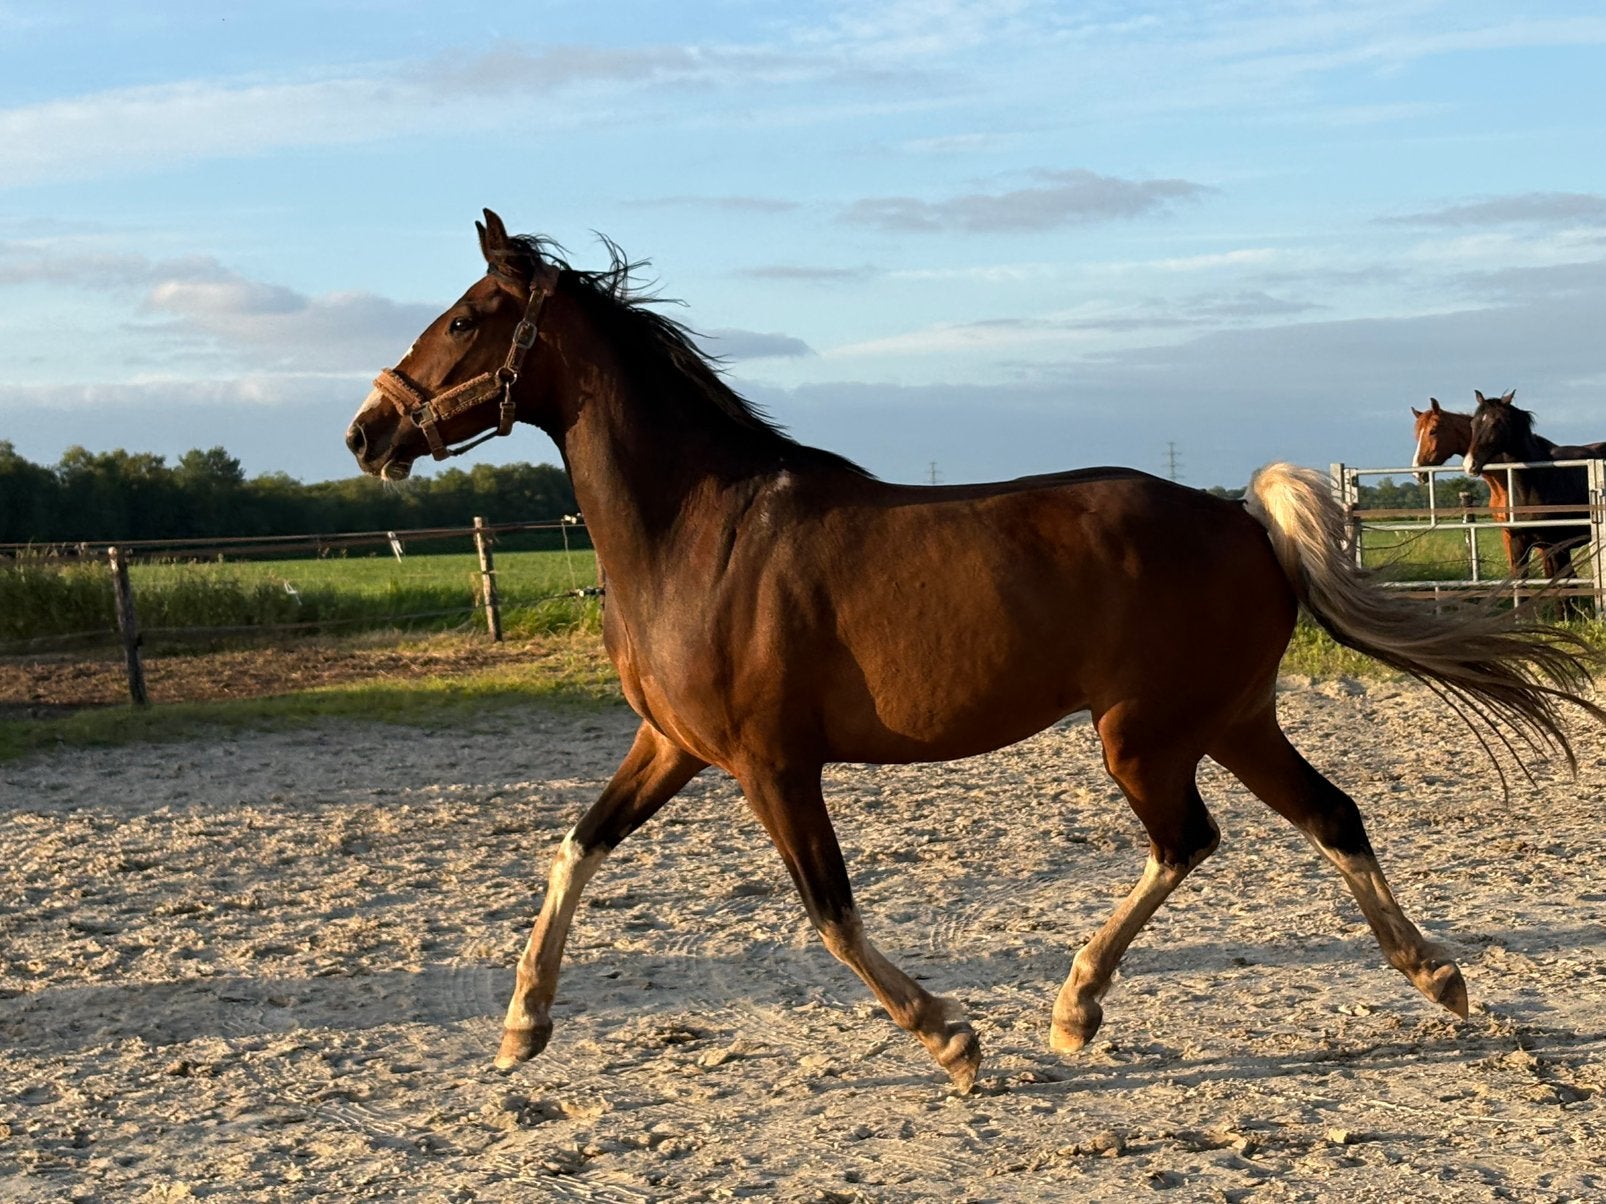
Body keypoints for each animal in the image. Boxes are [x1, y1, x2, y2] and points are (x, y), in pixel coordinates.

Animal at [345, 211, 1602, 1093]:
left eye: (466, 316)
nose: (367, 432)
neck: (701, 532)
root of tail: (1241, 518)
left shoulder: (770, 763)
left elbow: (828, 906)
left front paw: (950, 1037)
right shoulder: (673, 745)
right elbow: (575, 847)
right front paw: (521, 1026)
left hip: (1145, 736)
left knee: (1190, 841)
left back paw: (1076, 1006)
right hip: (1235, 720)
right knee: (1330, 815)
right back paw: (1434, 972)